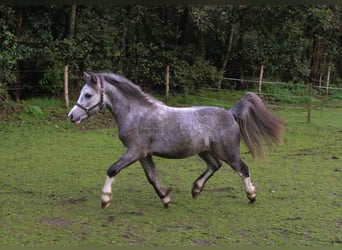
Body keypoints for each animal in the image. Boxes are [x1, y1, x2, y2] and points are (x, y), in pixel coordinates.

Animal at [67, 72, 284, 209]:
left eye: (88, 94)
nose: (72, 116)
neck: (135, 113)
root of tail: (230, 113)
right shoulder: (143, 154)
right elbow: (152, 178)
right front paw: (165, 199)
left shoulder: (134, 151)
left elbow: (112, 170)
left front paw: (105, 200)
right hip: (204, 151)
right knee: (215, 165)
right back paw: (196, 190)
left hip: (228, 151)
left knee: (242, 169)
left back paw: (251, 196)